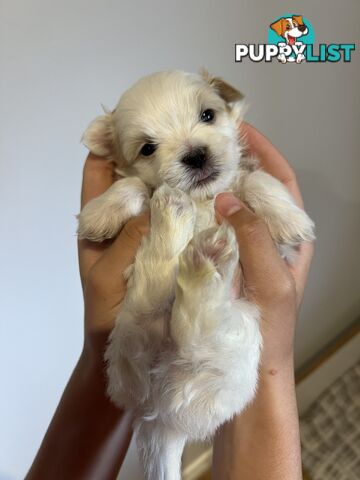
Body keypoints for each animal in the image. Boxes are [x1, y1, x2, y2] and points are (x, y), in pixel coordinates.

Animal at [77, 70, 314, 480]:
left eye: (208, 115)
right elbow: (132, 185)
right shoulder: (141, 186)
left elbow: (257, 182)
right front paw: (99, 211)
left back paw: (197, 242)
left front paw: (290, 219)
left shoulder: (243, 178)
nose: (195, 153)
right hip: (143, 352)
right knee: (180, 323)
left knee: (186, 329)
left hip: (232, 338)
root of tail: (159, 420)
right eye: (147, 149)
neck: (203, 198)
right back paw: (190, 234)